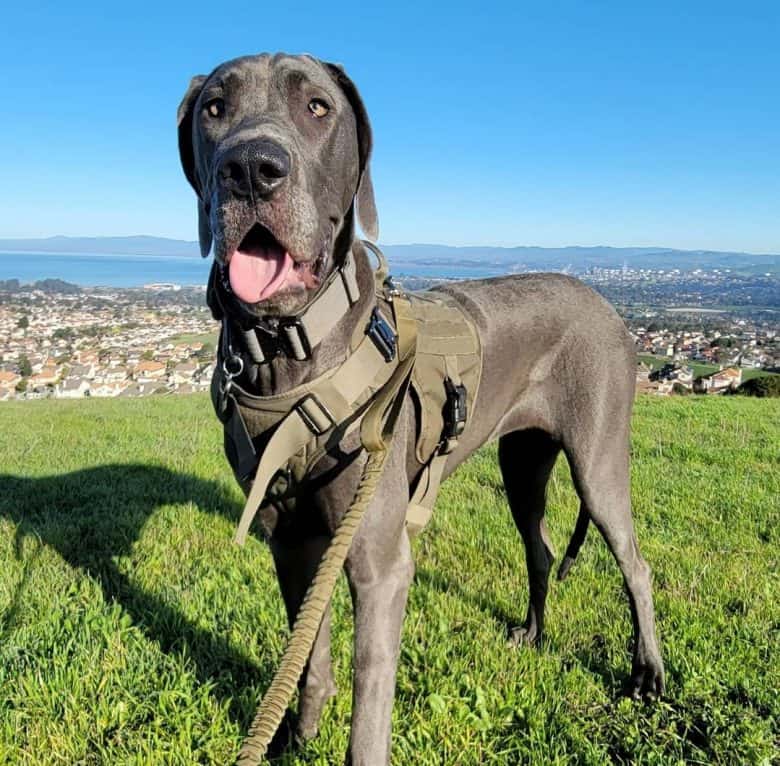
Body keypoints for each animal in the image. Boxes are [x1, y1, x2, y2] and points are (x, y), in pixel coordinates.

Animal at [178, 51, 664, 764]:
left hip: (598, 460)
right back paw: (534, 634)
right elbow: (308, 655)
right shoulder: (290, 540)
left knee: (635, 563)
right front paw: (296, 736)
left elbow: (367, 715)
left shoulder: (380, 564)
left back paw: (648, 672)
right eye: (215, 107)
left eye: (317, 107)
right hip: (523, 463)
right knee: (541, 548)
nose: (249, 169)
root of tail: (605, 303)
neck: (290, 346)